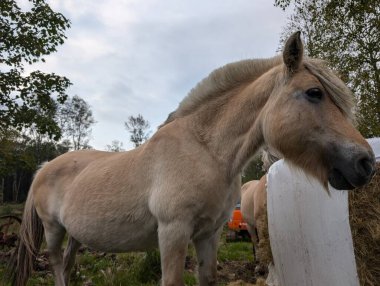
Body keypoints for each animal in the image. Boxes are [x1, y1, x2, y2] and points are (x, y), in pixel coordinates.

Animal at [5, 31, 374, 286]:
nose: (366, 162)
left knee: (68, 264)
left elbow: (207, 278)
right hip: (54, 230)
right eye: (314, 93)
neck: (206, 152)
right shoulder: (173, 232)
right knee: (56, 265)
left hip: (75, 234)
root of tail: (44, 168)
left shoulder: (208, 235)